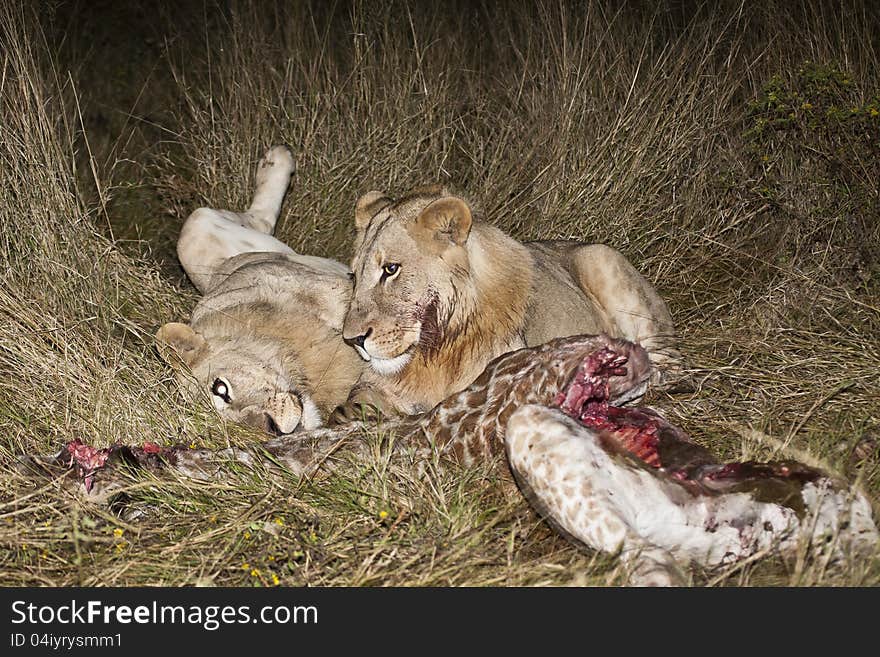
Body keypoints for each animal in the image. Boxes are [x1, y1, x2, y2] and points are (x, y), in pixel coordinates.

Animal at [338, 183, 680, 416]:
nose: (352, 340)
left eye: (390, 269)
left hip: (599, 258)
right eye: (353, 275)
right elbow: (354, 402)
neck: (437, 349)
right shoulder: (375, 385)